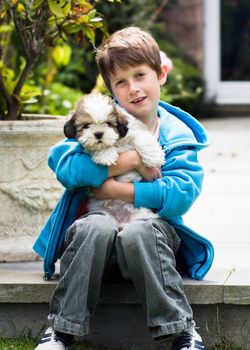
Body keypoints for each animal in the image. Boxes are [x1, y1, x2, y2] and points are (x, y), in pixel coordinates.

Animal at [64, 93, 165, 227]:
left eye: (108, 123)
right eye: (86, 126)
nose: (98, 134)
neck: (116, 142)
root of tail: (121, 221)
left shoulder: (134, 130)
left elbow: (141, 138)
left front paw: (153, 156)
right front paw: (106, 155)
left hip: (142, 213)